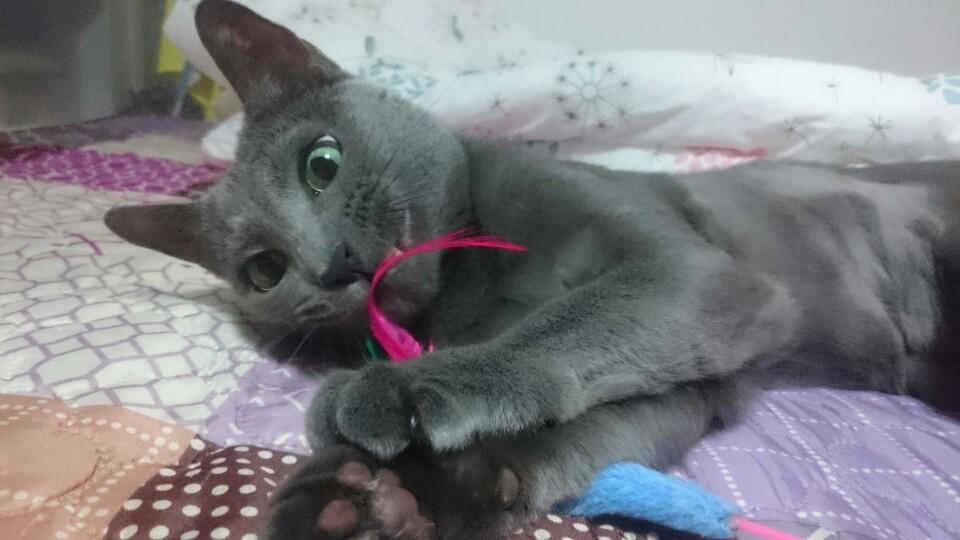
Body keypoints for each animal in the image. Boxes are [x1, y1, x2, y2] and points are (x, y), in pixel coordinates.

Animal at [105, 1, 960, 538]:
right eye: (263, 270)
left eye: (322, 164)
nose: (326, 262)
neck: (474, 289)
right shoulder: (697, 382)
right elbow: (587, 428)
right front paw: (379, 498)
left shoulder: (693, 277)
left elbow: (568, 327)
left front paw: (398, 394)